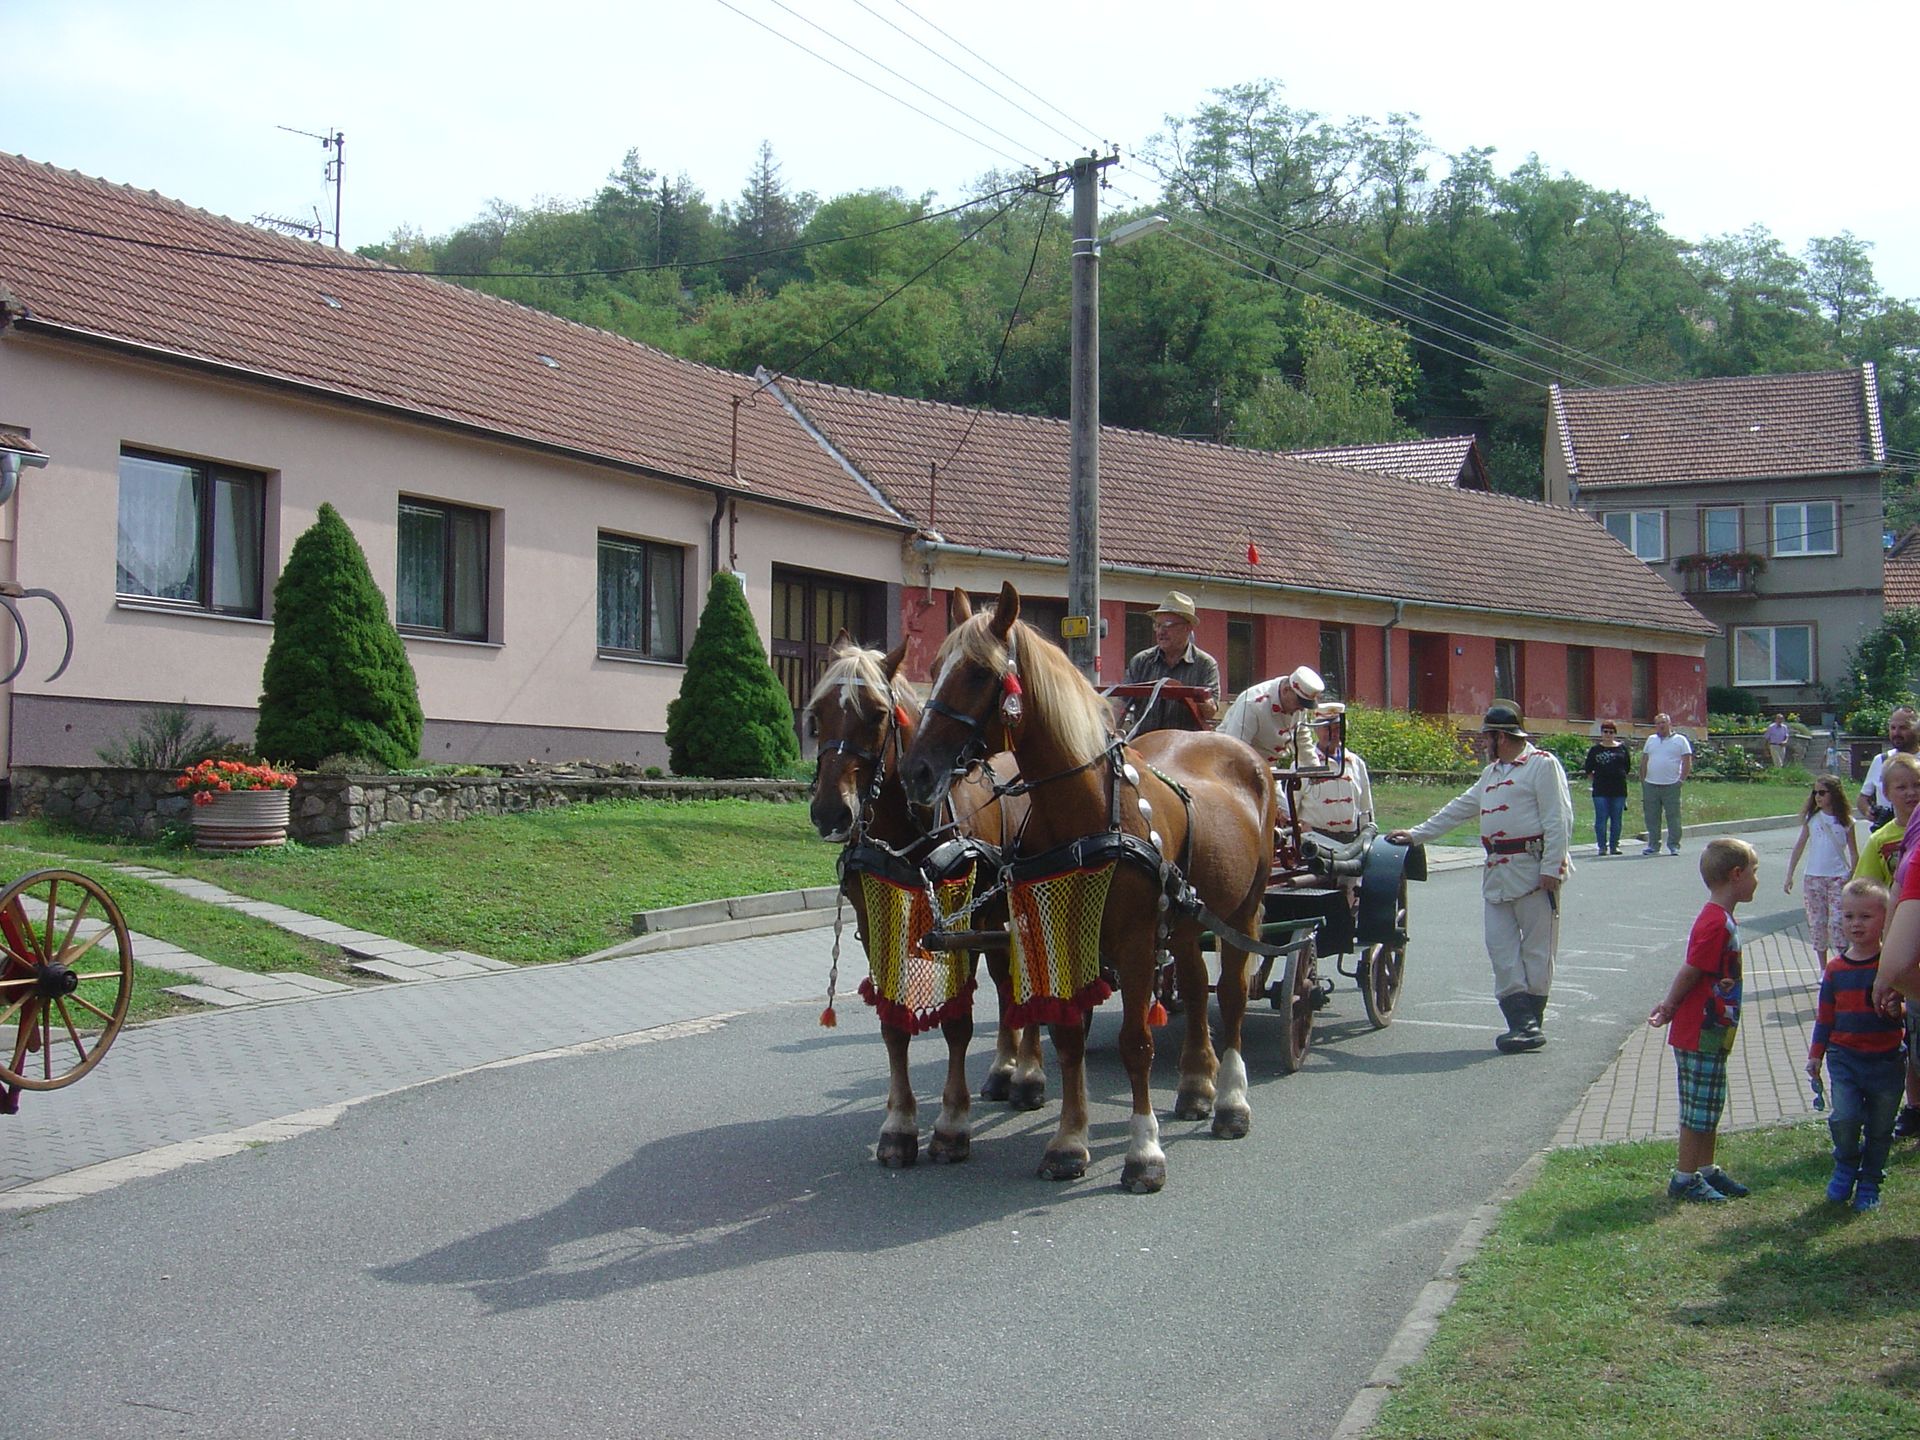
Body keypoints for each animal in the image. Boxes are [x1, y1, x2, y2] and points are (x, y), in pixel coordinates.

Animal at [804, 634, 1044, 1168]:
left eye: (877, 714)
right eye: (817, 714)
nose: (831, 812)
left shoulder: (962, 922)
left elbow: (957, 1023)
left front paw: (953, 1123)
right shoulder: (876, 923)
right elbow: (892, 1025)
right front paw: (898, 1125)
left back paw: (1029, 1075)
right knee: (1006, 982)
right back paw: (1004, 1068)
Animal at [899, 583, 1278, 1193]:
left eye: (979, 674)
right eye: (934, 667)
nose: (917, 772)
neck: (1084, 812)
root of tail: (1245, 755)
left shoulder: (1137, 942)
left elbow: (1136, 1043)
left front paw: (1143, 1151)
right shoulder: (1064, 940)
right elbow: (1069, 1038)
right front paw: (1068, 1142)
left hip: (1243, 911)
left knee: (1235, 997)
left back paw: (1231, 1102)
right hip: (1188, 917)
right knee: (1198, 989)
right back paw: (1197, 1085)